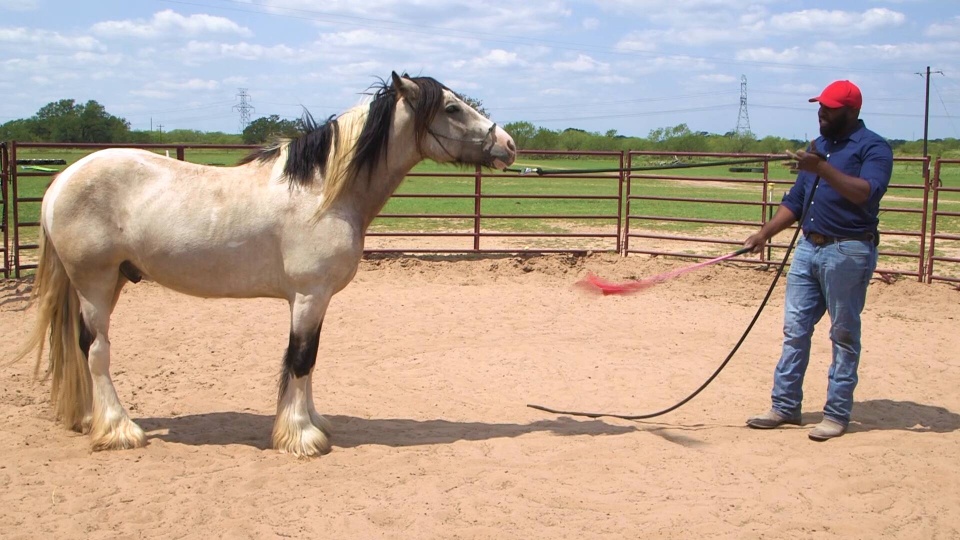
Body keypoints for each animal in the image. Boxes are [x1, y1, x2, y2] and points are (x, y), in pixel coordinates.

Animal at [15, 72, 516, 457]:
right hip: (95, 283)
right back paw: (119, 429)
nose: (508, 145)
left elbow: (307, 360)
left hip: (113, 280)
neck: (322, 193)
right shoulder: (309, 295)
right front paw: (301, 437)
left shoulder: (313, 300)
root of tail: (62, 180)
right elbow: (300, 359)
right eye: (452, 108)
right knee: (96, 351)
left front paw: (312, 422)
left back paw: (91, 419)